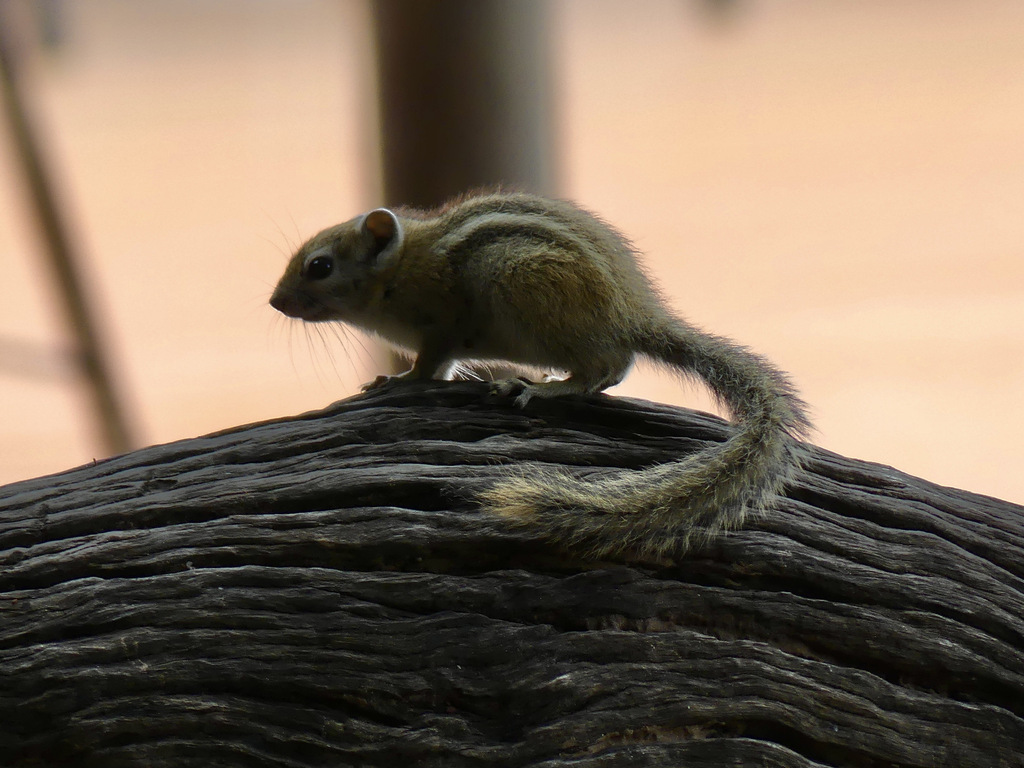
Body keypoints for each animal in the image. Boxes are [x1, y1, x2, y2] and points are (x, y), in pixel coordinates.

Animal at [270, 191, 811, 560]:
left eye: (319, 267)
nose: (275, 302)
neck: (400, 269)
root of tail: (633, 314)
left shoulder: (443, 326)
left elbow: (431, 365)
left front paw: (399, 381)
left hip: (522, 281)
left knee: (603, 367)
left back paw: (539, 387)